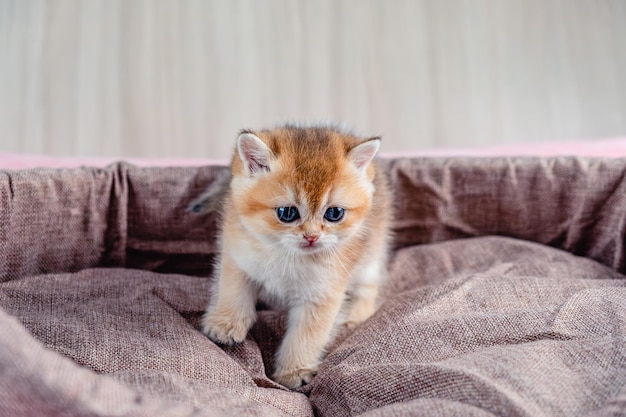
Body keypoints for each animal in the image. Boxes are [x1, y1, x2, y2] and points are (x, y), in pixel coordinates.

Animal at [197, 122, 390, 386]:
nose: (311, 236)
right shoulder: (237, 256)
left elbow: (306, 335)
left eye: (334, 213)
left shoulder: (322, 293)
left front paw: (294, 372)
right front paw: (224, 324)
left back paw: (352, 315)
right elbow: (232, 290)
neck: (286, 255)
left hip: (371, 256)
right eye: (287, 213)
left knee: (368, 289)